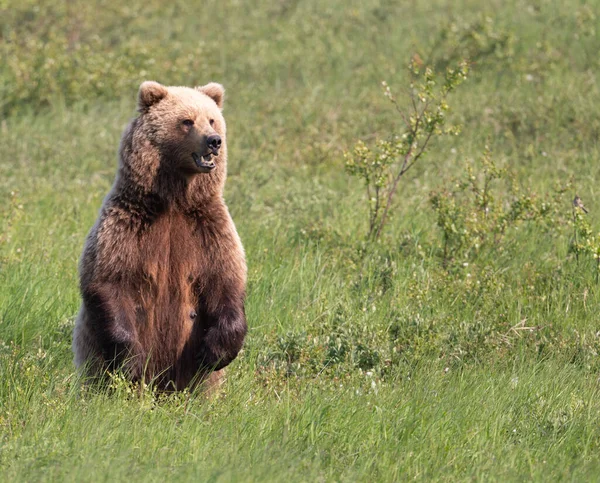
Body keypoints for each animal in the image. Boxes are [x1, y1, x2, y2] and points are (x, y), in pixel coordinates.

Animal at [72, 81, 246, 392]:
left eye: (212, 119)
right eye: (187, 121)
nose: (214, 141)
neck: (175, 200)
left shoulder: (209, 229)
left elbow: (226, 279)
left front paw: (214, 352)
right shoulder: (126, 225)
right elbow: (107, 280)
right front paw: (130, 362)